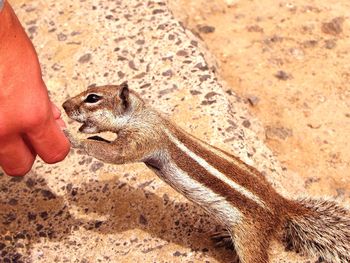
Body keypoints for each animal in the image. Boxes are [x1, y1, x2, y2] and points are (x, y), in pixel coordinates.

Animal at [63, 82, 350, 263]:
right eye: (89, 89)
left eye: (93, 98)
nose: (64, 105)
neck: (143, 114)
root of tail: (281, 204)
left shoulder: (143, 139)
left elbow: (113, 154)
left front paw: (72, 138)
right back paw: (224, 236)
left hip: (251, 237)